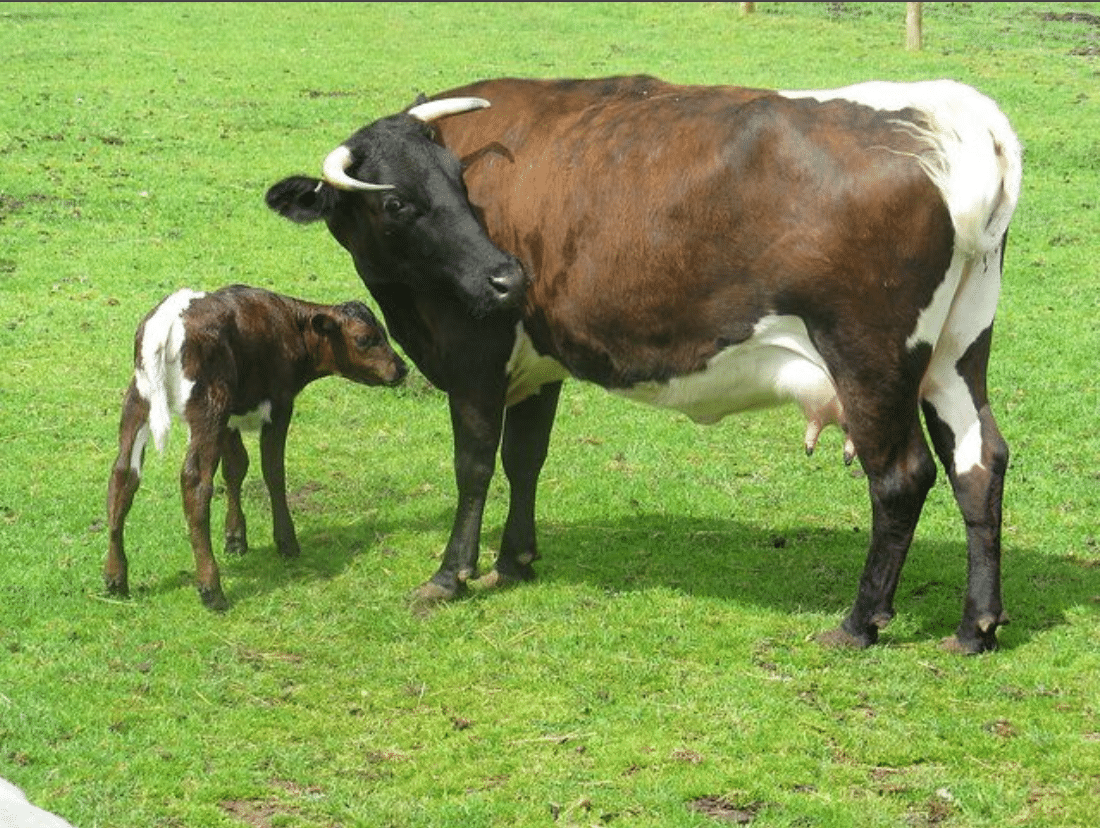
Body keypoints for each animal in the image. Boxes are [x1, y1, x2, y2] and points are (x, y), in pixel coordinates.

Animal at [105, 285, 408, 610]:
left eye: (385, 332)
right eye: (365, 338)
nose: (402, 368)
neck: (291, 325)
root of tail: (168, 319)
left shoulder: (231, 419)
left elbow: (236, 468)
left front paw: (236, 538)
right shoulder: (279, 405)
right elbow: (273, 471)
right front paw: (286, 542)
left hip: (138, 400)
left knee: (123, 475)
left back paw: (115, 578)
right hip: (209, 405)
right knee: (195, 482)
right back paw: (211, 589)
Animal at [265, 76, 1022, 653]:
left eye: (458, 180)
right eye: (398, 200)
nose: (506, 279)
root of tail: (952, 111)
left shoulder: (475, 355)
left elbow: (474, 465)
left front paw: (450, 575)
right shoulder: (537, 365)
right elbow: (525, 459)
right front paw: (515, 562)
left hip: (870, 357)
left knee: (901, 478)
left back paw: (859, 624)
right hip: (956, 351)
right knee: (979, 460)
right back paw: (976, 627)